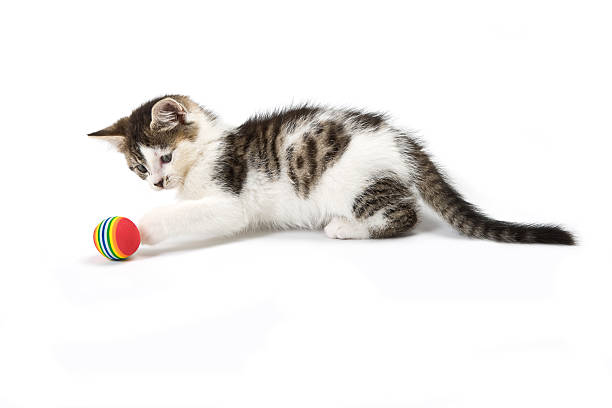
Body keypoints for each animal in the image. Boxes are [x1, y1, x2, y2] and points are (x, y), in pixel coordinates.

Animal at [88, 95, 576, 245]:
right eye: (138, 167)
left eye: (166, 157)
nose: (158, 182)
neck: (208, 149)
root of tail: (402, 142)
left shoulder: (228, 201)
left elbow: (192, 214)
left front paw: (144, 227)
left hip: (350, 179)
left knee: (404, 214)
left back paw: (347, 228)